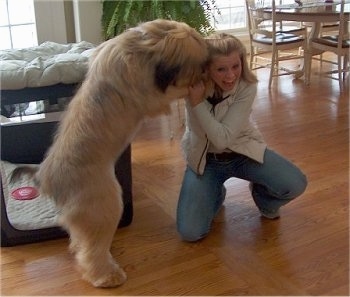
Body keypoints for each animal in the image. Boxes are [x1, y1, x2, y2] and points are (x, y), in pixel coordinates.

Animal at [11, 19, 208, 286]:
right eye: (199, 62)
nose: (207, 69)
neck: (143, 45)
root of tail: (46, 178)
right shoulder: (151, 95)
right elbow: (172, 92)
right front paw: (198, 85)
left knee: (81, 244)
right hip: (106, 205)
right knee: (90, 252)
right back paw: (106, 275)